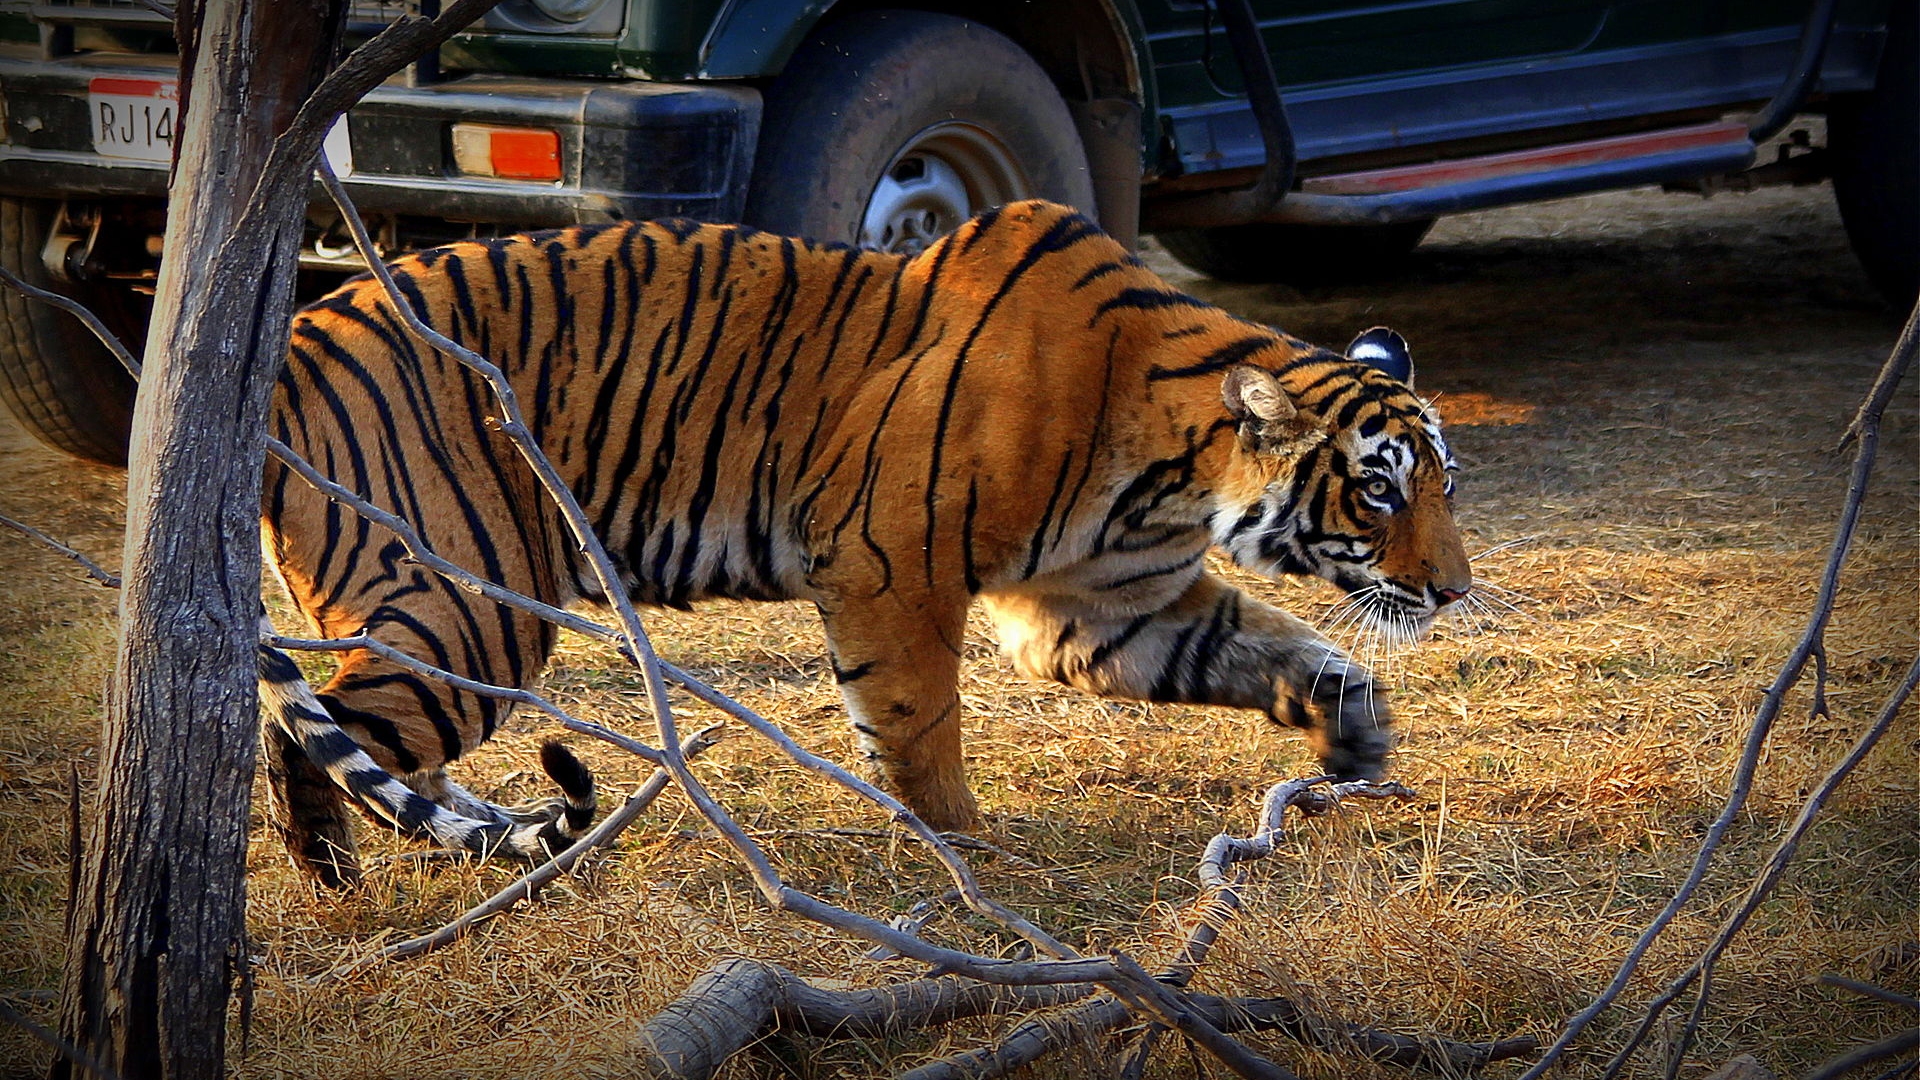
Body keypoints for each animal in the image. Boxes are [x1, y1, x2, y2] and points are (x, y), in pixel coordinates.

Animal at [263, 195, 1466, 883]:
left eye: (1444, 485)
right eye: (1379, 491)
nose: (1455, 592)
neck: (1175, 475)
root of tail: (298, 329)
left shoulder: (1112, 612)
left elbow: (1281, 653)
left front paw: (1355, 741)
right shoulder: (894, 564)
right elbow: (918, 721)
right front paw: (972, 852)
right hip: (477, 604)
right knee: (308, 732)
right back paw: (337, 887)